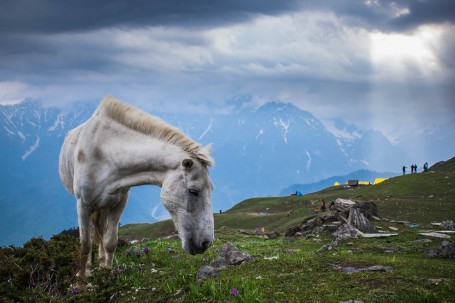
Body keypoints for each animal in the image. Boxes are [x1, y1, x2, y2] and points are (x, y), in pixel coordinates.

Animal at [59, 96, 216, 280]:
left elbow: (110, 241)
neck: (106, 153)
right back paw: (89, 270)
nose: (205, 243)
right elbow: (84, 244)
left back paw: (101, 261)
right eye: (193, 191)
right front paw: (82, 280)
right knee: (91, 234)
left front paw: (107, 271)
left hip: (104, 206)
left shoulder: (119, 203)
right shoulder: (83, 205)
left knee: (101, 231)